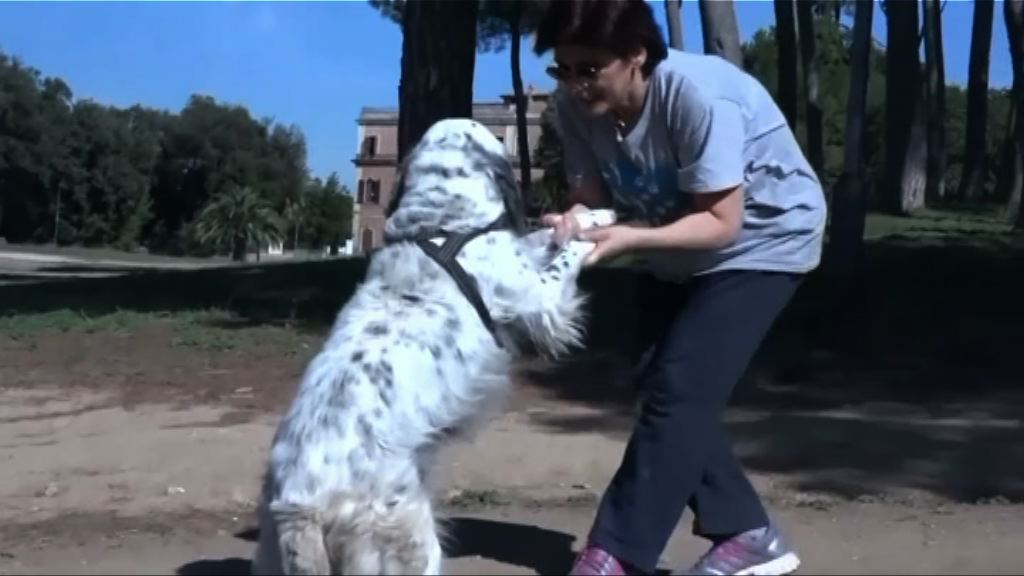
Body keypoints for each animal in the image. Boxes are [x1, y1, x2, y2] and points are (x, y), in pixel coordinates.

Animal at [250, 117, 610, 573]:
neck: (441, 227)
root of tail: (300, 506)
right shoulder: (540, 300)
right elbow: (567, 252)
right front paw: (599, 222)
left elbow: (546, 234)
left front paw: (591, 215)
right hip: (415, 543)